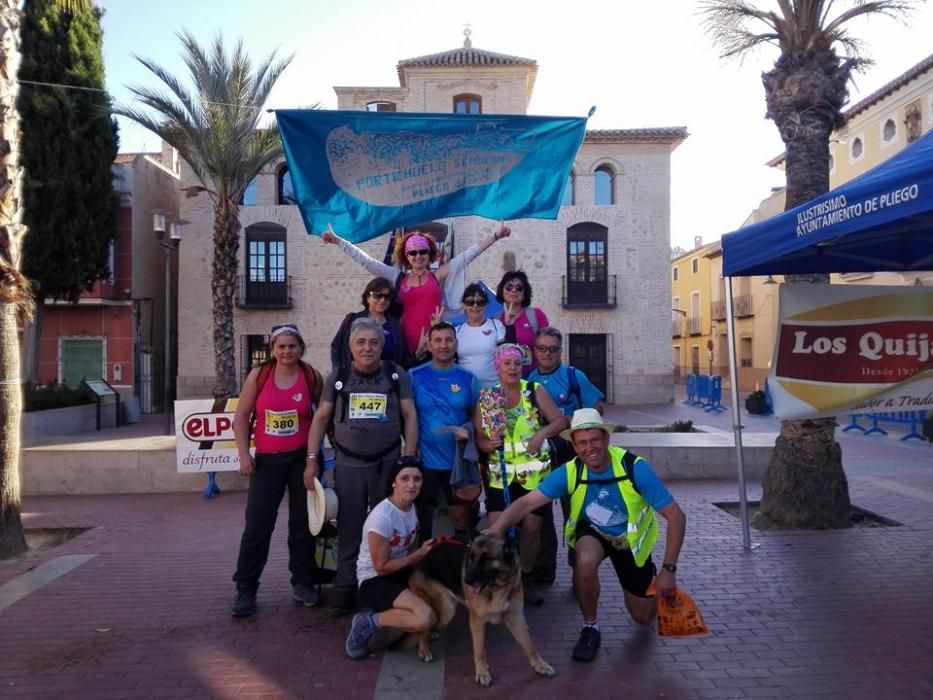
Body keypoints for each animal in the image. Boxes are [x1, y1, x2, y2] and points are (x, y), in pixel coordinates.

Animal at [408, 532, 552, 688]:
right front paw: (482, 672)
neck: (496, 587)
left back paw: (431, 634)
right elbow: (479, 650)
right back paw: (424, 649)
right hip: (447, 609)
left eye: (486, 559)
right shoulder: (477, 622)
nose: (466, 581)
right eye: (471, 558)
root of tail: (423, 559)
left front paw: (540, 665)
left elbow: (529, 644)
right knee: (423, 627)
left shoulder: (516, 618)